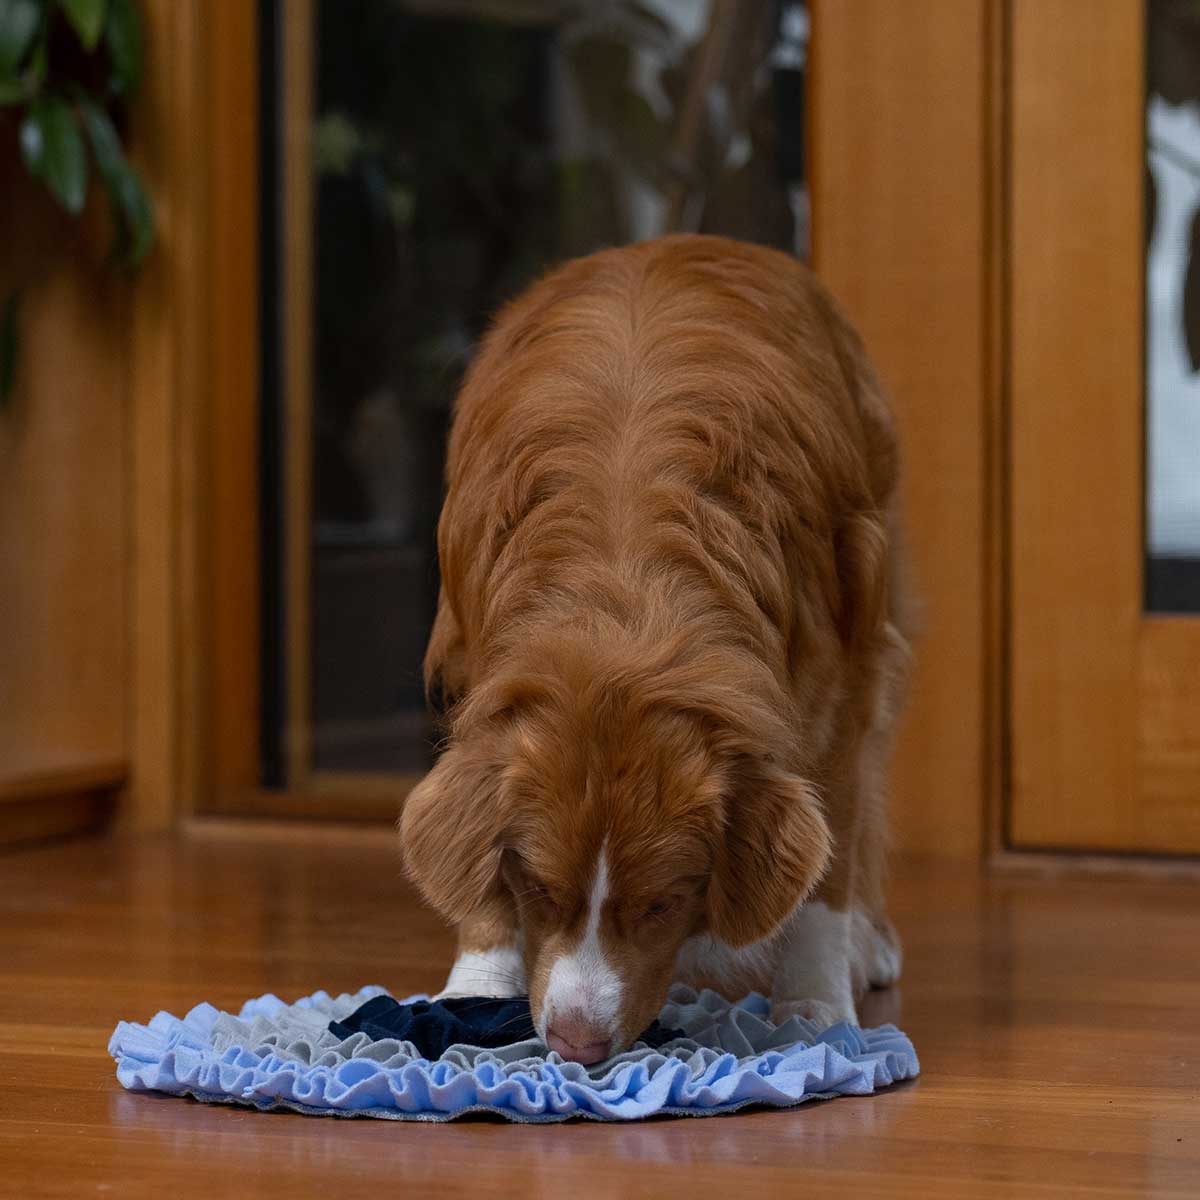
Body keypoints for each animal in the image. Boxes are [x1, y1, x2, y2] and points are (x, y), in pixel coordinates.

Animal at [398, 236, 912, 1070]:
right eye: (540, 890)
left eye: (664, 902)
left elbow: (832, 847)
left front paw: (814, 1005)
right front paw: (476, 982)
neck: (624, 600)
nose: (575, 1045)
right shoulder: (476, 659)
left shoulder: (838, 675)